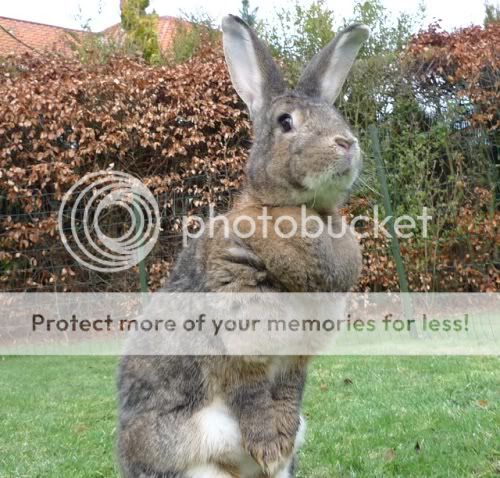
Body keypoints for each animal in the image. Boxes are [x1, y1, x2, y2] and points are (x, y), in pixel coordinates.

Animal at [116, 14, 368, 478]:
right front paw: (268, 445)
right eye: (286, 122)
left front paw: (281, 442)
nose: (347, 143)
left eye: (336, 114)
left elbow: (287, 392)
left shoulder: (297, 358)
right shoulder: (238, 328)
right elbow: (250, 394)